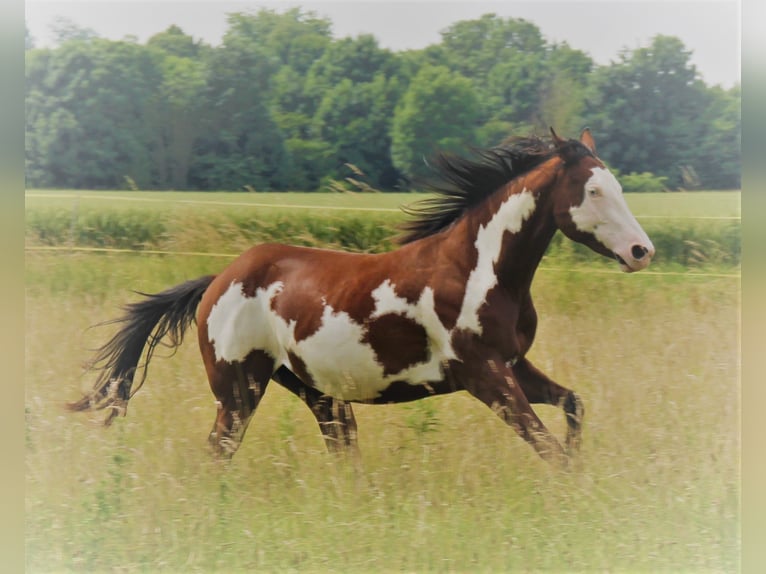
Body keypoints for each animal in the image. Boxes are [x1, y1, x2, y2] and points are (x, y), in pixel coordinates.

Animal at [69, 128, 656, 466]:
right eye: (593, 190)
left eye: (618, 187)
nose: (642, 250)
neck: (477, 269)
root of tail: (216, 283)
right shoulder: (485, 375)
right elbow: (548, 449)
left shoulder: (512, 365)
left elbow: (574, 407)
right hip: (238, 391)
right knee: (218, 454)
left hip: (316, 393)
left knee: (341, 456)